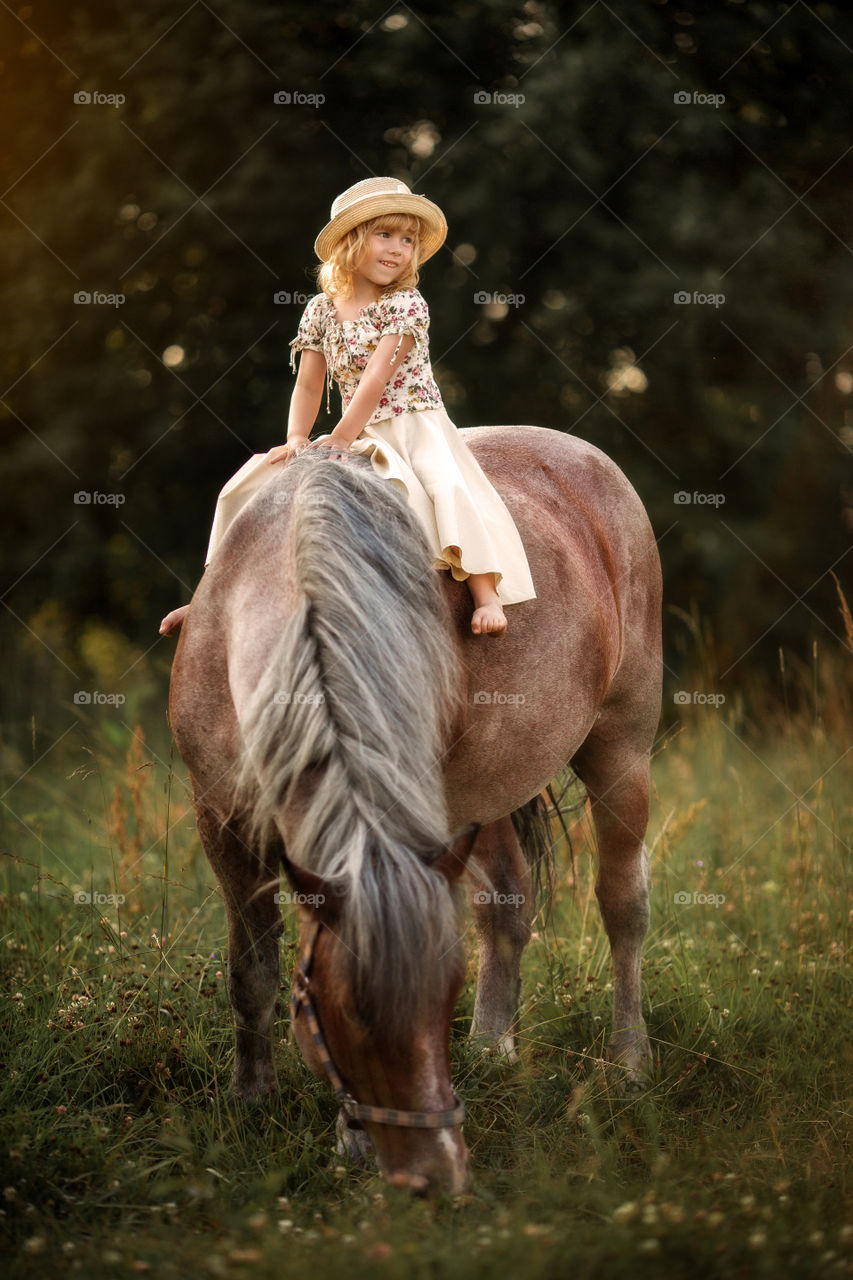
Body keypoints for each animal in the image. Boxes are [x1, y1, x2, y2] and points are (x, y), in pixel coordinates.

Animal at [166, 424, 655, 1192]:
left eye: (441, 997)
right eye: (345, 1013)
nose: (438, 1172)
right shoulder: (221, 821)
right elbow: (251, 969)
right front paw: (250, 1102)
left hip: (622, 750)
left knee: (623, 904)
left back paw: (629, 1060)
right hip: (481, 798)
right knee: (505, 903)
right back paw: (492, 1047)